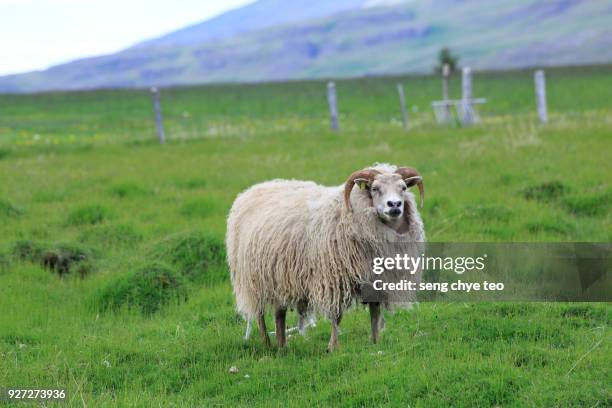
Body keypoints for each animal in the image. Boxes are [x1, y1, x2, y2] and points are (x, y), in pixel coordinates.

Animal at [226, 163, 426, 350]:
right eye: (375, 188)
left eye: (403, 188)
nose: (395, 205)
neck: (350, 214)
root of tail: (252, 190)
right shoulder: (334, 278)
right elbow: (337, 316)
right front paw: (333, 347)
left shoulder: (377, 280)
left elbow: (375, 314)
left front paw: (375, 342)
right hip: (252, 279)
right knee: (259, 313)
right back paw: (267, 343)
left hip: (279, 276)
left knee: (279, 313)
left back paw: (282, 345)